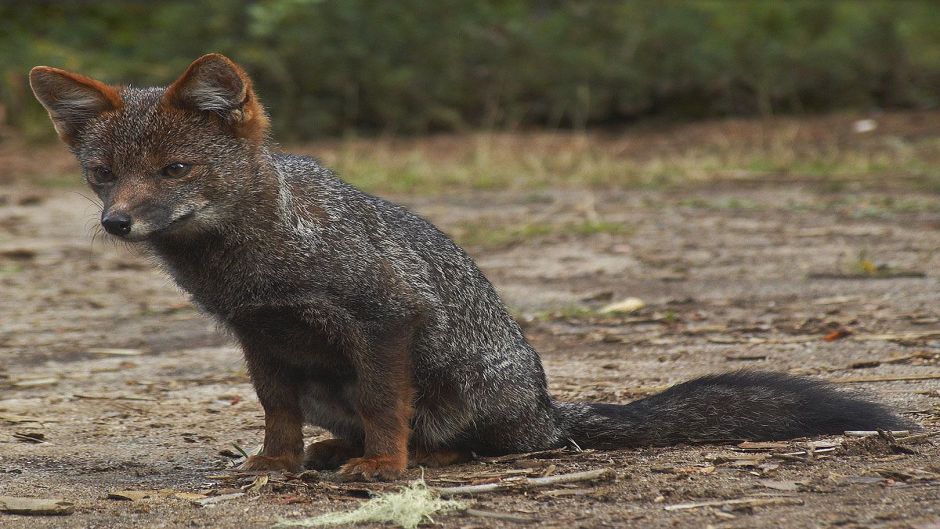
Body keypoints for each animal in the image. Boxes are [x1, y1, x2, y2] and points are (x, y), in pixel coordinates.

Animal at [29, 54, 913, 480]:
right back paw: (328, 452)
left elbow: (386, 404)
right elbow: (275, 413)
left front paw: (385, 466)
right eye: (103, 174)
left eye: (175, 170)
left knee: (502, 450)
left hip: (464, 389)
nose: (116, 222)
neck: (257, 259)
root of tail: (551, 409)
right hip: (327, 385)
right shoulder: (260, 336)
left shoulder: (386, 317)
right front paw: (276, 464)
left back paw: (422, 456)